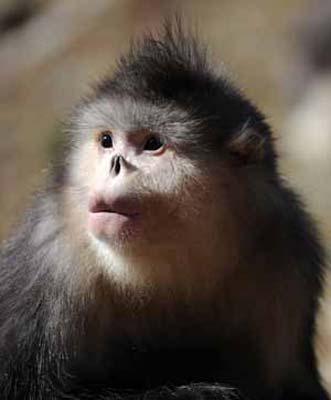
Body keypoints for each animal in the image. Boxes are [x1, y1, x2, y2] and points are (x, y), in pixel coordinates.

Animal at [0, 22, 330, 400]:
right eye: (107, 141)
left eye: (153, 144)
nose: (115, 164)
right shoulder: (52, 256)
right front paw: (203, 392)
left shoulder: (288, 255)